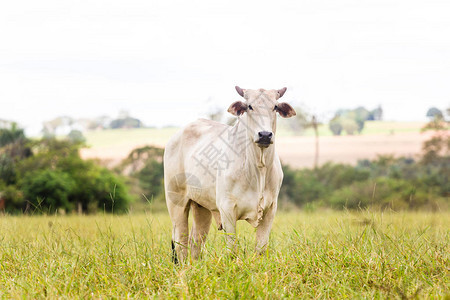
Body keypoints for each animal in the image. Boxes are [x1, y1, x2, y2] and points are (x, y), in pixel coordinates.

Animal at [163, 85, 298, 262]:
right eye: (249, 106)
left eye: (275, 106)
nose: (265, 135)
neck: (258, 169)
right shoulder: (226, 209)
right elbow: (232, 249)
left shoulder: (270, 209)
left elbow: (261, 248)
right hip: (176, 202)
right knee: (181, 242)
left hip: (201, 206)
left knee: (196, 241)